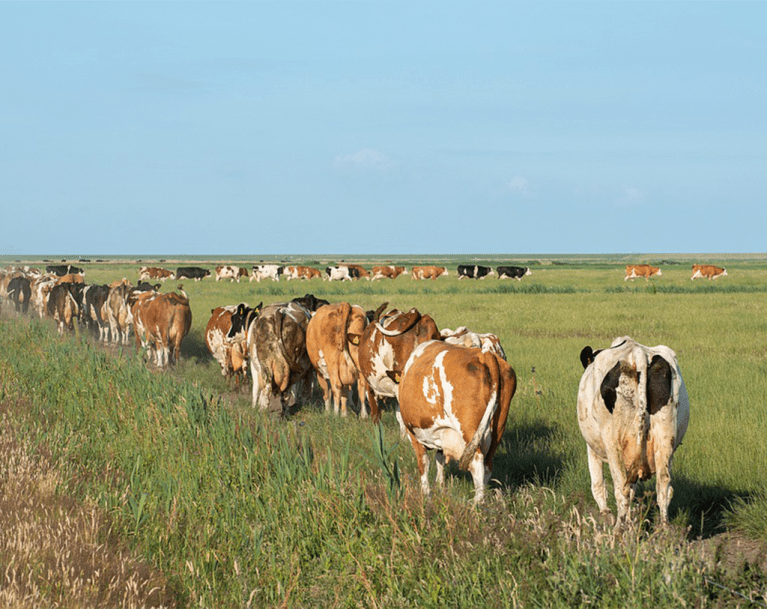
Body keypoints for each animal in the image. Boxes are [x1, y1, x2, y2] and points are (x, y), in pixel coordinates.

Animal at [390, 340, 516, 502]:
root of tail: (485, 354)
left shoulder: (412, 433)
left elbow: (423, 463)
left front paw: (426, 495)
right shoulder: (442, 432)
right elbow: (440, 459)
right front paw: (439, 486)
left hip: (468, 429)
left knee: (477, 462)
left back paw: (477, 501)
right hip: (498, 427)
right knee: (488, 464)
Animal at [580, 334, 692, 528]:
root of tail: (638, 353)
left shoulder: (592, 446)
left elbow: (597, 483)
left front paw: (606, 515)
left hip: (614, 444)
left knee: (622, 489)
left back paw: (619, 529)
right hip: (665, 438)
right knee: (664, 486)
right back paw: (664, 529)